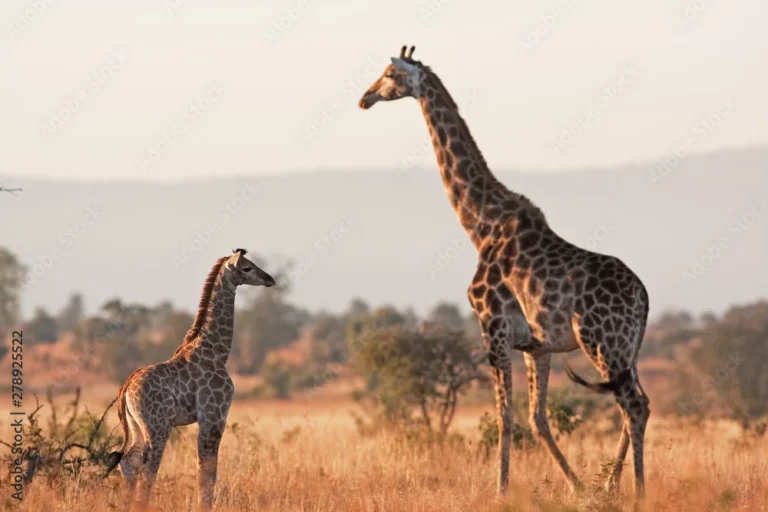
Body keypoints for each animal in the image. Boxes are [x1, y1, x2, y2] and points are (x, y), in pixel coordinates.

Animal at [104, 249, 275, 510]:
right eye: (247, 268)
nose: (270, 279)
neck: (216, 352)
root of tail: (125, 388)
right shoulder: (214, 417)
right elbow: (207, 471)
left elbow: (204, 470)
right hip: (158, 426)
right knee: (148, 468)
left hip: (136, 425)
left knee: (128, 461)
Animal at [358, 46, 651, 498]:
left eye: (390, 73)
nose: (365, 98)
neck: (481, 224)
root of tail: (643, 296)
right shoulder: (536, 345)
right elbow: (537, 418)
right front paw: (578, 487)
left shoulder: (491, 326)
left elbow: (505, 416)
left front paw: (501, 491)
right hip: (627, 349)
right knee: (640, 404)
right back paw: (611, 483)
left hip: (603, 342)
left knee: (632, 405)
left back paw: (636, 490)